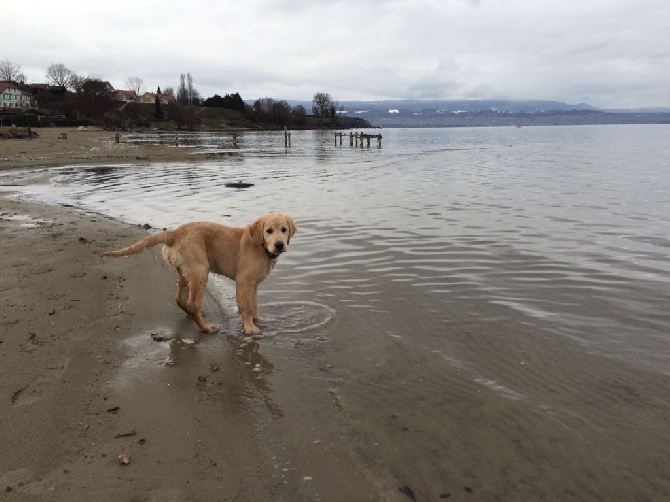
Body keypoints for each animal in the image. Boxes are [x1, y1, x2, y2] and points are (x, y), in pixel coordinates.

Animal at [102, 212, 296, 334]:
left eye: (284, 229)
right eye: (268, 231)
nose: (280, 245)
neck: (261, 247)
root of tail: (175, 232)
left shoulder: (253, 284)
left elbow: (253, 303)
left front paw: (257, 319)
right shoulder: (244, 281)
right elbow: (246, 305)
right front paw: (250, 327)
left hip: (184, 271)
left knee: (179, 298)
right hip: (200, 271)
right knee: (193, 302)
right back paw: (206, 327)